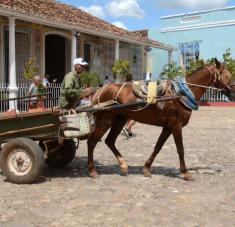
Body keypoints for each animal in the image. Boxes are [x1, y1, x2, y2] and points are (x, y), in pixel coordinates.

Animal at [87, 59, 232, 181]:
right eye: (227, 76)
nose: (232, 92)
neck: (182, 94)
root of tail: (100, 90)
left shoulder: (168, 127)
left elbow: (158, 146)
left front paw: (146, 168)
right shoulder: (176, 125)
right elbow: (180, 148)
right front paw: (185, 172)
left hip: (119, 120)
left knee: (109, 141)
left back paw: (123, 165)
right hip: (105, 120)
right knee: (92, 142)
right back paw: (92, 171)